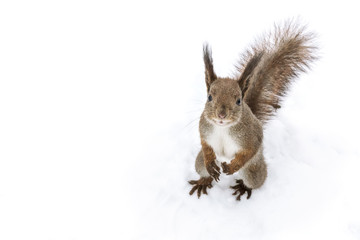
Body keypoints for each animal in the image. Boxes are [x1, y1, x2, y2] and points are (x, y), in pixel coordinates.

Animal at [190, 20, 316, 201]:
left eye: (238, 100)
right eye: (209, 97)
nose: (221, 115)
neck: (223, 128)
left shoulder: (251, 136)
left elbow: (249, 151)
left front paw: (232, 167)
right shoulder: (205, 129)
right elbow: (206, 145)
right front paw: (210, 164)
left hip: (253, 170)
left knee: (256, 180)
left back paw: (243, 187)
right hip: (199, 163)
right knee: (203, 167)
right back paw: (204, 180)